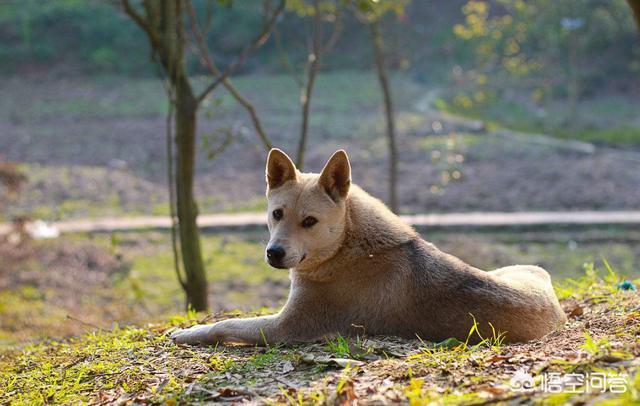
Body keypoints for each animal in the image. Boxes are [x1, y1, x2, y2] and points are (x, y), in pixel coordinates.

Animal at [170, 149, 564, 346]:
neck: (346, 246)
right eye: (277, 214)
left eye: (309, 221)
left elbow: (224, 325)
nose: (274, 253)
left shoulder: (286, 327)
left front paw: (185, 333)